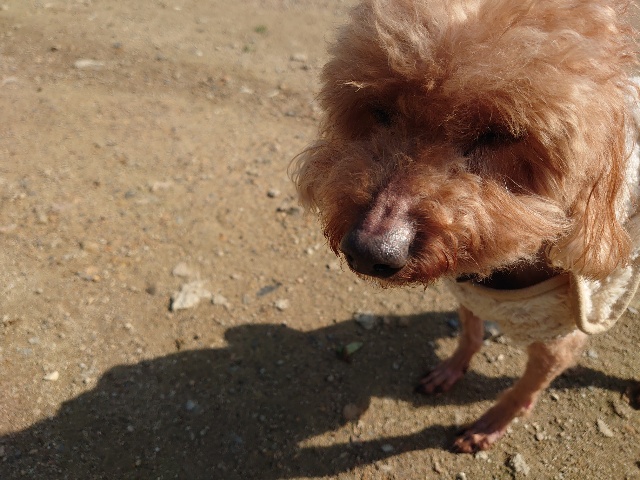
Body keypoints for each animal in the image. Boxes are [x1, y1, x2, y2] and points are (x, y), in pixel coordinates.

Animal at [293, 0, 640, 452]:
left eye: (501, 135)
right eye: (380, 110)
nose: (369, 253)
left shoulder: (563, 341)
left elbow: (524, 388)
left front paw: (492, 423)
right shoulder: (467, 291)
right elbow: (469, 334)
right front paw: (451, 370)